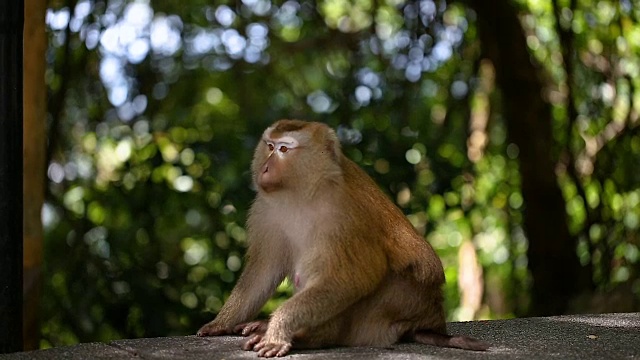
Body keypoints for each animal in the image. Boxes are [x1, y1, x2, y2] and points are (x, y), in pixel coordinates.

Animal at [198, 119, 488, 356]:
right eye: (269, 146)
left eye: (284, 150)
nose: (266, 168)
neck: (301, 193)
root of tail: (432, 318)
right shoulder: (265, 210)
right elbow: (264, 270)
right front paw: (221, 323)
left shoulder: (343, 215)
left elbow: (357, 275)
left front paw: (279, 329)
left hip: (404, 302)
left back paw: (307, 337)